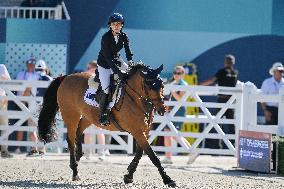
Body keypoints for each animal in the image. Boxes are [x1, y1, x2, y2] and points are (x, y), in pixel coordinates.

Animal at [36, 63, 176, 188]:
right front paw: (168, 180)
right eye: (148, 86)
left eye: (162, 85)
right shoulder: (137, 131)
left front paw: (128, 176)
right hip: (71, 116)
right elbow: (152, 156)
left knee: (78, 133)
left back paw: (78, 157)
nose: (162, 109)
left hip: (88, 117)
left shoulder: (144, 131)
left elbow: (140, 153)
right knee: (70, 140)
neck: (137, 99)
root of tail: (66, 77)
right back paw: (75, 171)